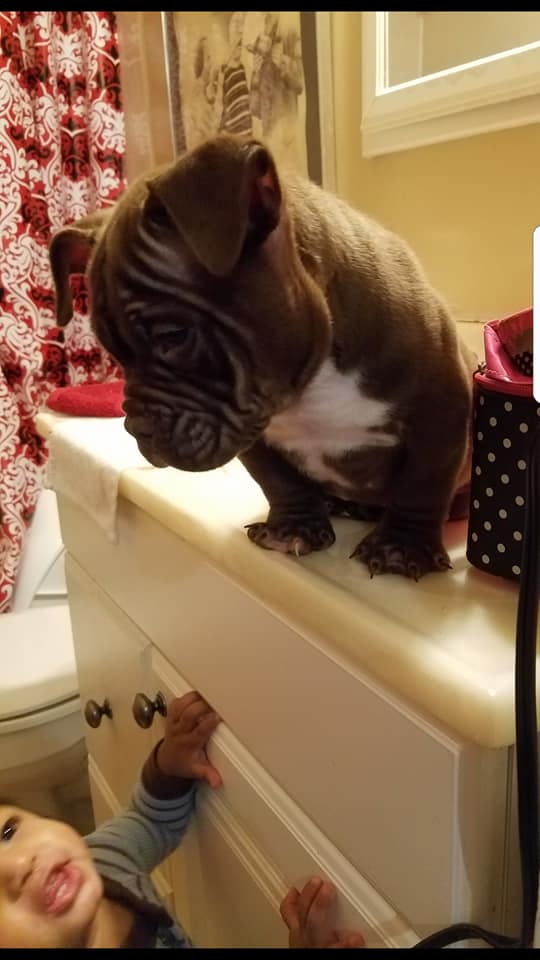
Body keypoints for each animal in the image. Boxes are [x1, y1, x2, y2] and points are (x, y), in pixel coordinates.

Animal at [49, 134, 476, 579]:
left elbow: (423, 481)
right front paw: (293, 527)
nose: (137, 428)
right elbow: (278, 480)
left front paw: (401, 546)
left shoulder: (442, 411)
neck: (310, 384)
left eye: (174, 336)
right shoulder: (249, 432)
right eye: (114, 353)